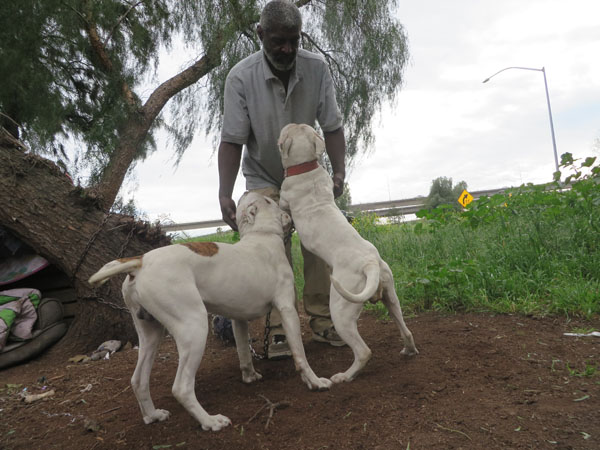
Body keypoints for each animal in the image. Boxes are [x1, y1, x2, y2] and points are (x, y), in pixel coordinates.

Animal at [87, 192, 330, 432]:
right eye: (270, 201)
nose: (283, 202)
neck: (260, 234)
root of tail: (140, 262)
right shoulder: (288, 309)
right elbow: (300, 354)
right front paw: (315, 381)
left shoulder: (238, 319)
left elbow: (244, 352)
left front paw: (250, 376)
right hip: (194, 328)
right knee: (181, 387)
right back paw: (210, 421)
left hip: (151, 334)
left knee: (138, 380)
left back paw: (153, 415)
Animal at [276, 123, 418, 384]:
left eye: (286, 131)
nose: (288, 122)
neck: (306, 167)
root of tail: (370, 263)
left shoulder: (285, 200)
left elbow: (283, 206)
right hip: (391, 298)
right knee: (406, 329)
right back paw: (408, 350)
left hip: (341, 311)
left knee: (363, 351)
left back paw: (343, 376)